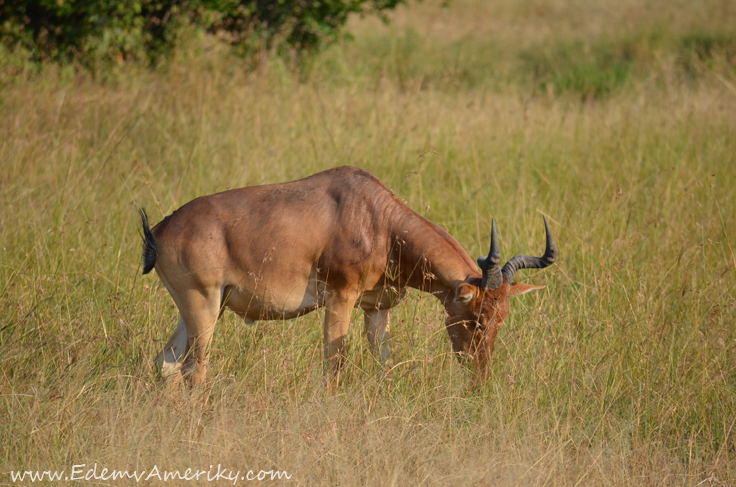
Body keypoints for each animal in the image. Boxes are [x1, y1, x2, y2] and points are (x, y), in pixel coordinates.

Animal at [138, 166, 556, 386]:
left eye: (502, 318)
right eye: (477, 318)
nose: (479, 378)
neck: (378, 219)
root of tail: (160, 229)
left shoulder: (377, 309)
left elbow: (385, 364)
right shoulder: (340, 299)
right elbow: (334, 367)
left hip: (198, 309)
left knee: (167, 363)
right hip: (203, 305)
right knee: (194, 370)